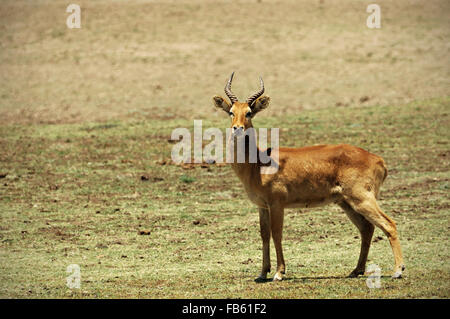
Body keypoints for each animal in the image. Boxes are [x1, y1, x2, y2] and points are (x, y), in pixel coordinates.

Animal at [213, 73, 406, 282]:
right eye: (231, 112)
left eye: (249, 112)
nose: (237, 128)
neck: (257, 164)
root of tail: (378, 159)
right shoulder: (262, 206)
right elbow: (264, 234)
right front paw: (263, 273)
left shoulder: (277, 203)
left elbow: (276, 233)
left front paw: (279, 273)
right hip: (346, 203)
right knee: (367, 229)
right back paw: (356, 270)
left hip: (362, 199)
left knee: (389, 224)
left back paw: (397, 270)